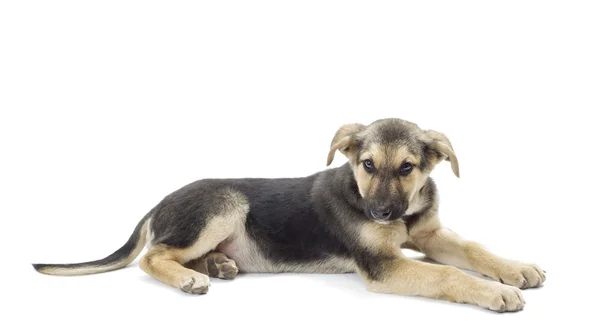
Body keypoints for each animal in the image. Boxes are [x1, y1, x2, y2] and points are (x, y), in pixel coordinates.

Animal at [35, 118, 548, 312]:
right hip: (224, 205)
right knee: (152, 256)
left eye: (408, 168)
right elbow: (446, 274)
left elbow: (471, 248)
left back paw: (217, 265)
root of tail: (159, 202)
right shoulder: (384, 265)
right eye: (366, 165)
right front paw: (493, 292)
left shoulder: (429, 233)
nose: (381, 212)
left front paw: (515, 268)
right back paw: (191, 278)